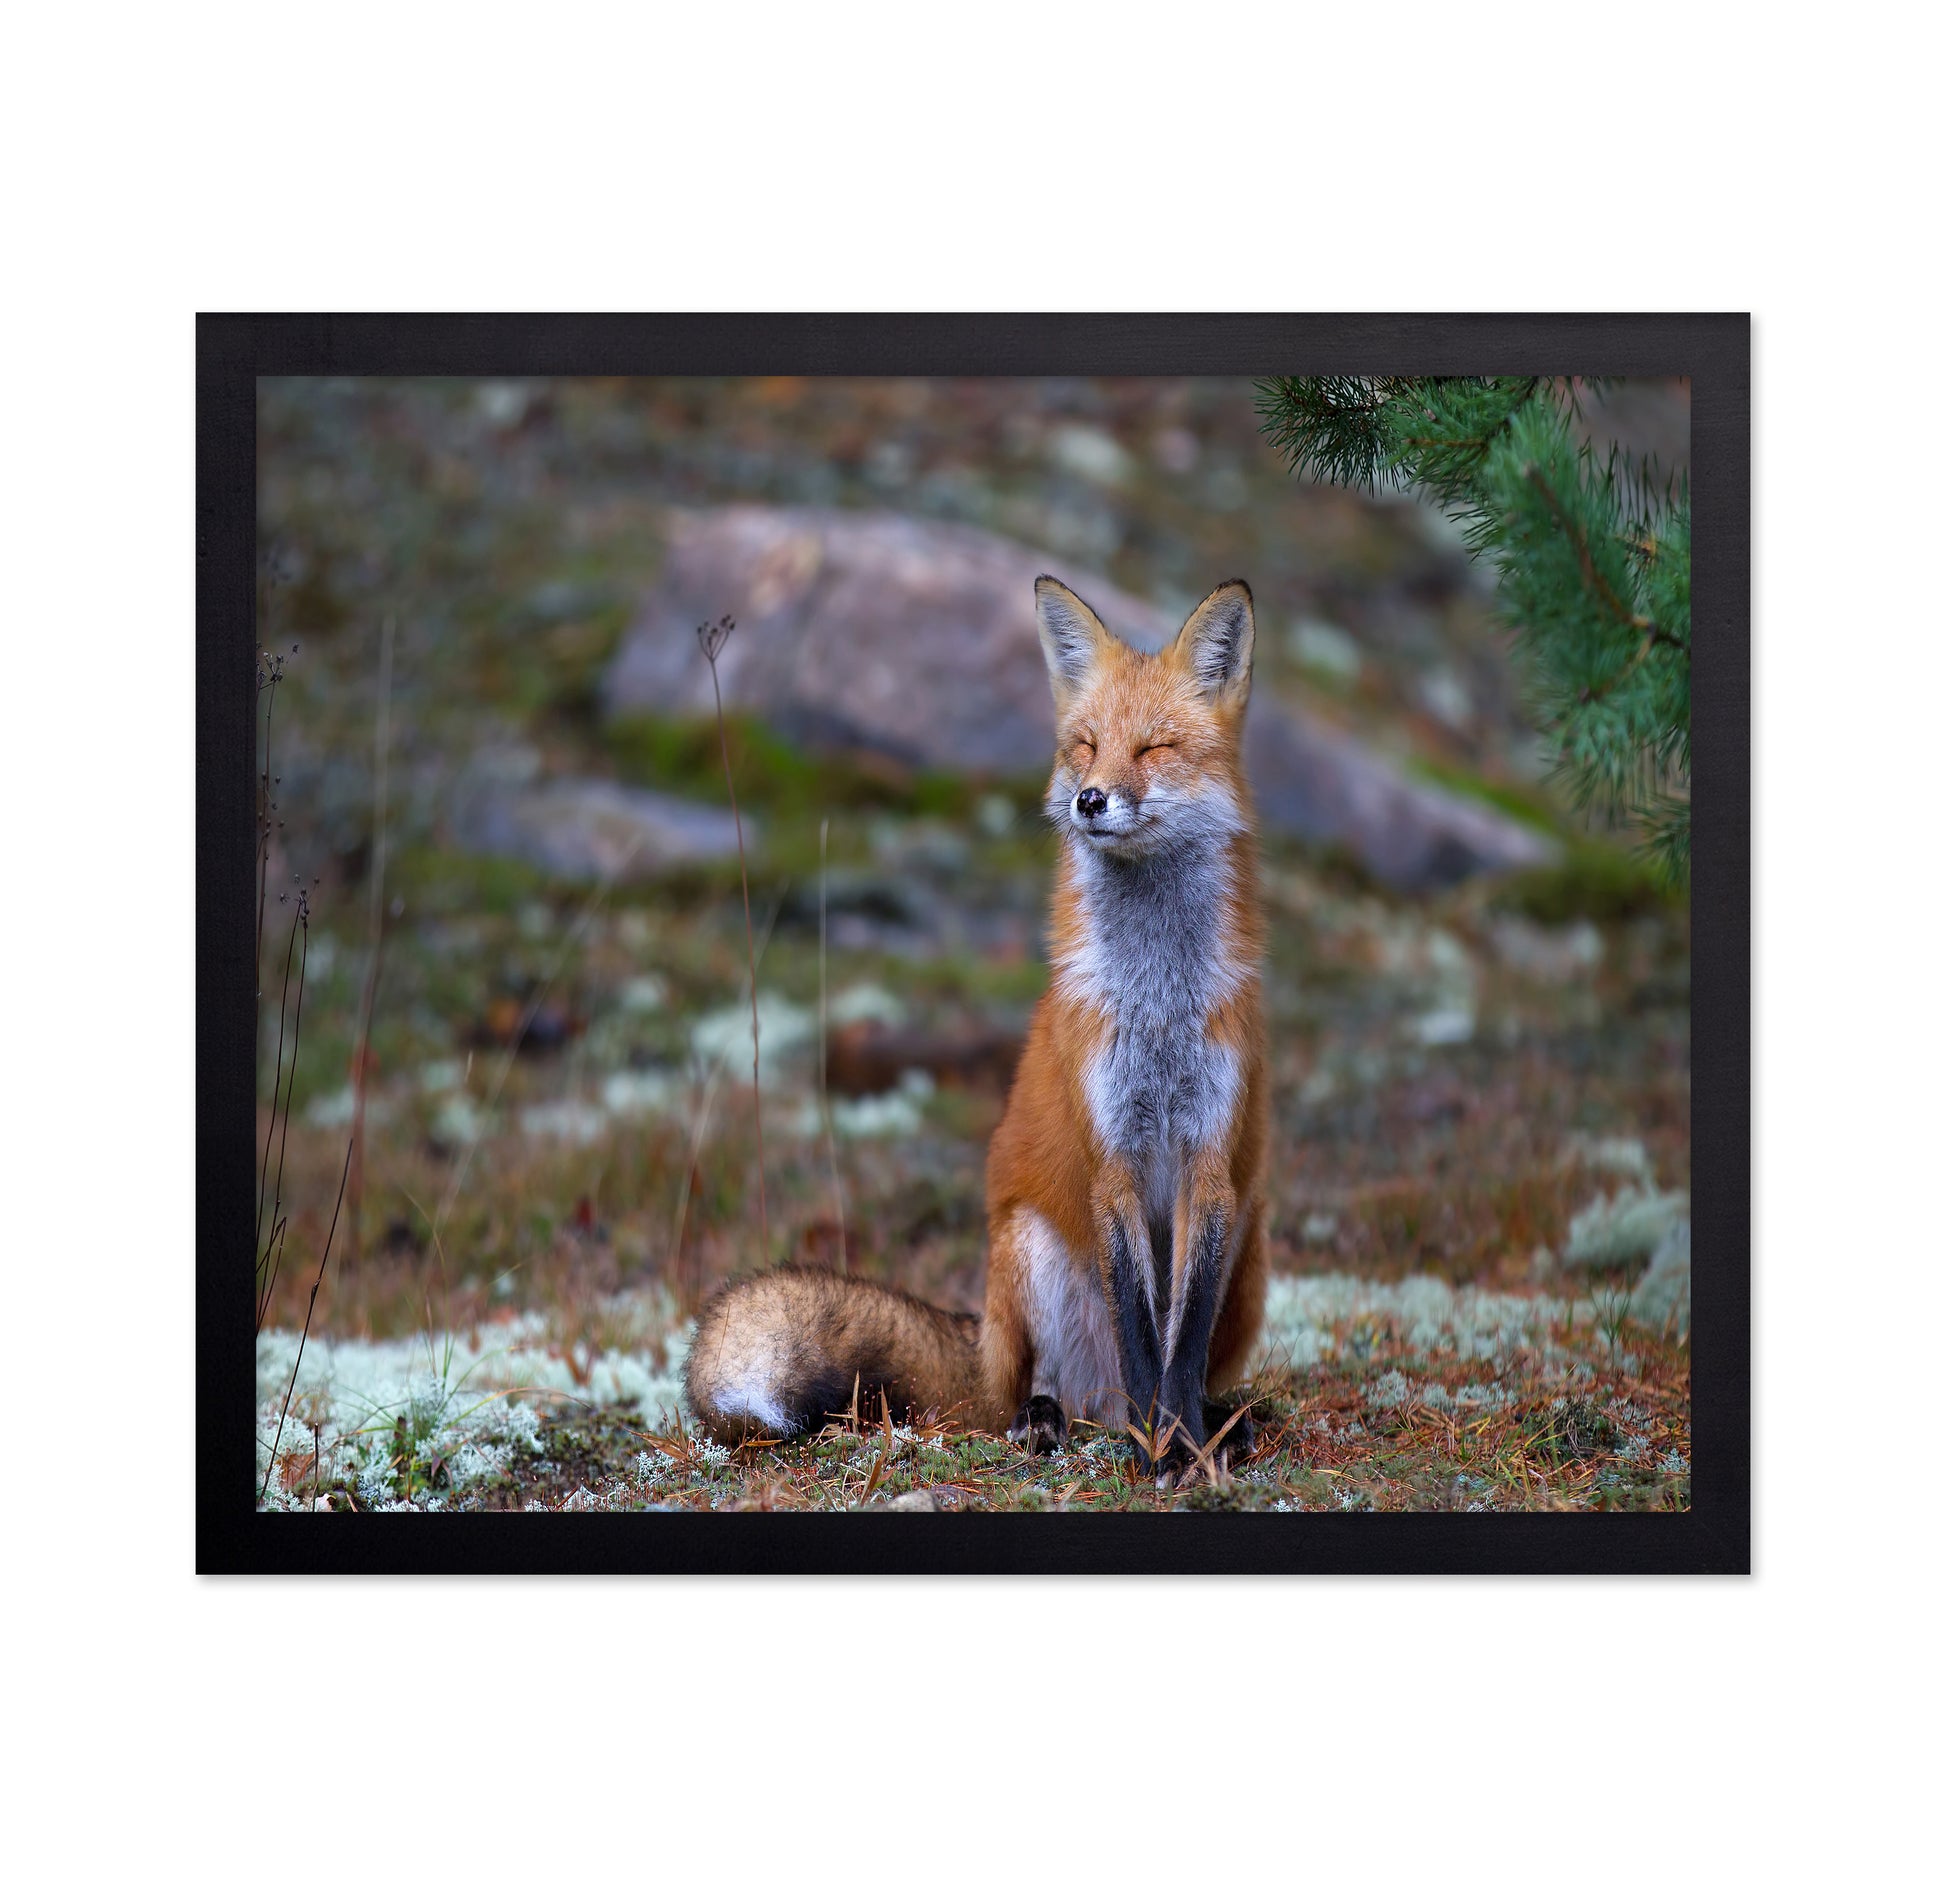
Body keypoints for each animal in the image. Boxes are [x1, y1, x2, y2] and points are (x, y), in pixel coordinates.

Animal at [685, 575, 1268, 1482]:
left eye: (1154, 748)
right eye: (1085, 746)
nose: (1090, 799)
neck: (1156, 1005)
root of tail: (983, 1340)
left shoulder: (1211, 1160)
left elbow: (1180, 1338)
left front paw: (1181, 1443)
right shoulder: (1112, 1158)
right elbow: (1143, 1337)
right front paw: (1156, 1447)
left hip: (1250, 1233)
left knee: (1189, 1367)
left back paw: (1220, 1421)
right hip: (1028, 1251)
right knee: (1041, 1393)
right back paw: (1053, 1419)